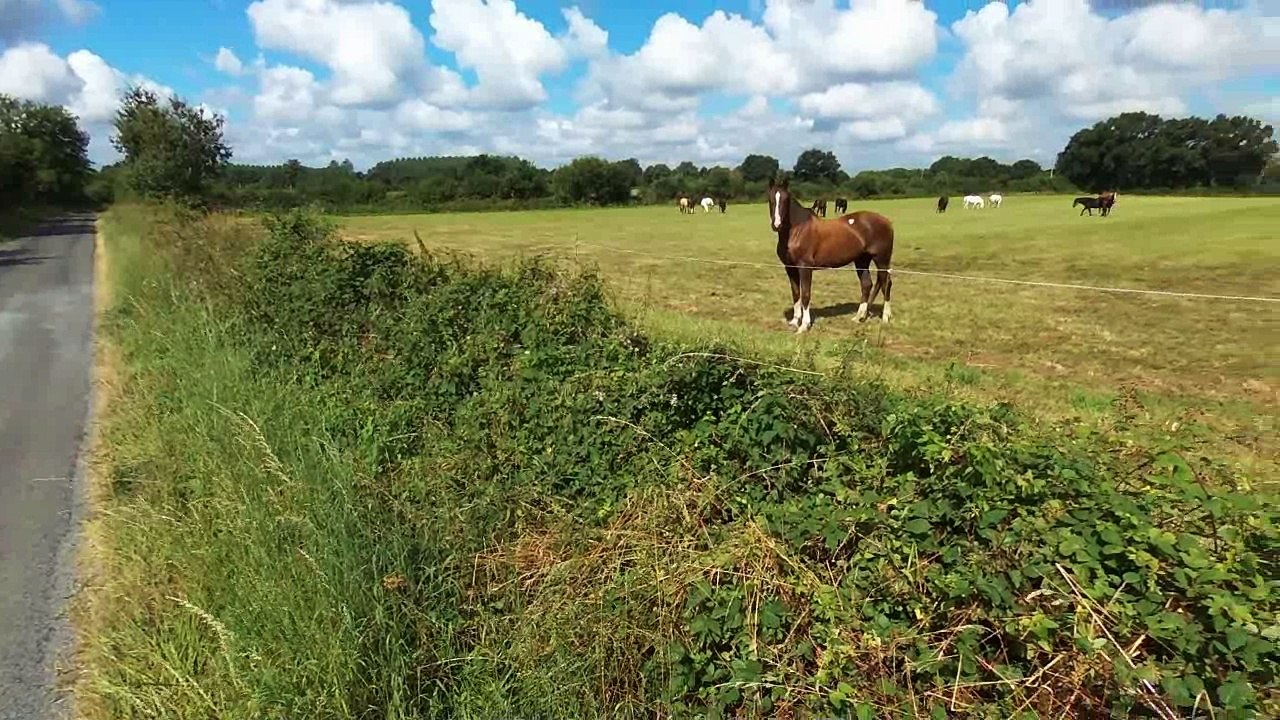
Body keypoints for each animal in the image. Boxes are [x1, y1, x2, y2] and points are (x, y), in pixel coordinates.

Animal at [767, 178, 895, 332]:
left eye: (786, 199)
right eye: (770, 199)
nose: (777, 225)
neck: (797, 230)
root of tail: (886, 221)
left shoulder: (805, 267)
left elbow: (805, 294)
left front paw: (804, 325)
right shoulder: (790, 268)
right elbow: (796, 293)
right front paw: (794, 321)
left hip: (882, 259)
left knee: (886, 283)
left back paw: (885, 318)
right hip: (862, 261)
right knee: (867, 285)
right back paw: (859, 317)